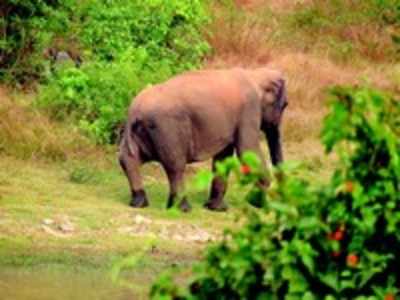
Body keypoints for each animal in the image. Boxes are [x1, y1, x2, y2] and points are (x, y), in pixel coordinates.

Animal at [118, 67, 288, 213]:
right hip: (167, 128)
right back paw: (183, 209)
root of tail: (135, 109)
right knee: (175, 165)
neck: (255, 74)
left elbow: (224, 157)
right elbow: (247, 149)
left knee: (129, 159)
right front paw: (255, 202)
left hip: (142, 132)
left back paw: (139, 202)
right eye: (285, 105)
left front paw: (217, 209)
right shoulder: (249, 110)